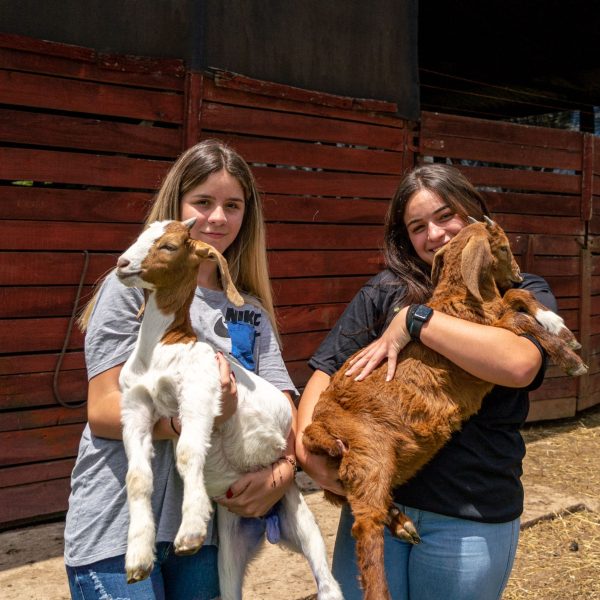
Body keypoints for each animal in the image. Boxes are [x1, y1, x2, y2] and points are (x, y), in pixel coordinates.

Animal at [116, 220, 342, 600]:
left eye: (169, 246)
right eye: (140, 237)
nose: (121, 264)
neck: (163, 346)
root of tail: (267, 523)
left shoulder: (200, 389)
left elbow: (188, 452)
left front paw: (190, 531)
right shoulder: (136, 406)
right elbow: (137, 477)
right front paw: (137, 559)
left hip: (300, 516)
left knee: (327, 580)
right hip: (230, 548)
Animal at [302, 217, 588, 600]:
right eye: (503, 247)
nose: (517, 275)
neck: (461, 298)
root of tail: (314, 429)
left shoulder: (495, 318)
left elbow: (516, 301)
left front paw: (558, 325)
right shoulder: (493, 335)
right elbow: (519, 319)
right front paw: (572, 360)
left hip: (361, 464)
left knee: (365, 503)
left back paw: (403, 524)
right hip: (369, 451)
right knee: (365, 525)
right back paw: (382, 583)